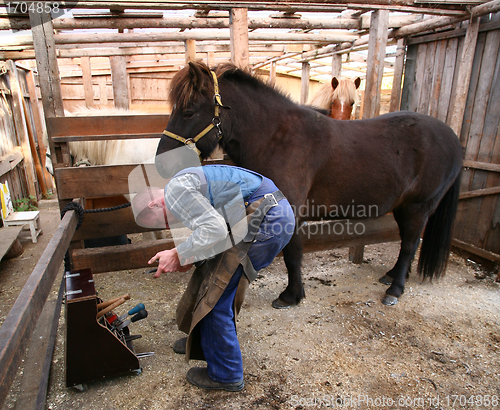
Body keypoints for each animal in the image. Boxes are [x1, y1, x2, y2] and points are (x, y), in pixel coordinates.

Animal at [154, 62, 462, 308]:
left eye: (189, 111)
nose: (161, 163)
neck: (277, 137)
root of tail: (453, 137)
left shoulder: (290, 208)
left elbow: (293, 254)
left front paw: (291, 295)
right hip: (404, 207)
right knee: (409, 244)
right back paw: (393, 275)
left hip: (418, 207)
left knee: (409, 244)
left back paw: (395, 289)